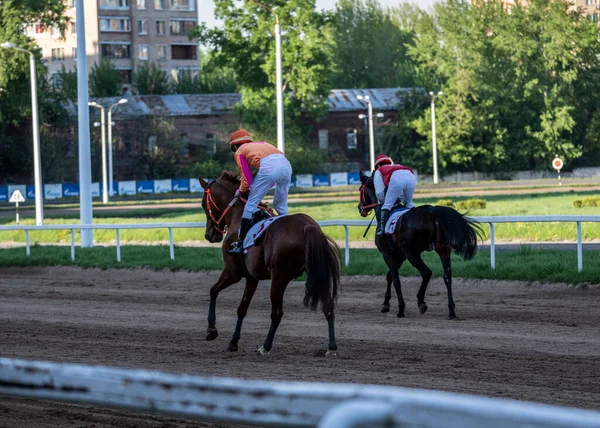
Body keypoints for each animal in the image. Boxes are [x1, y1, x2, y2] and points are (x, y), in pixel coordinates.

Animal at [200, 171, 342, 354]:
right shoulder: (252, 277)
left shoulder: (233, 271)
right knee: (328, 307)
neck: (239, 217)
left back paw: (265, 346)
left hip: (279, 277)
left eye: (203, 204)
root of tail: (307, 226)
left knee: (277, 313)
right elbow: (242, 308)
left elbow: (213, 291)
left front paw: (211, 330)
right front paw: (233, 341)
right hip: (318, 273)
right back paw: (331, 347)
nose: (209, 235)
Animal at [356, 172, 482, 320]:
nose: (360, 208)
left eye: (360, 189)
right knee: (447, 276)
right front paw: (385, 304)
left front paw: (400, 309)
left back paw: (421, 302)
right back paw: (451, 311)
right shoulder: (400, 255)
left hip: (412, 252)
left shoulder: (388, 254)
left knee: (426, 272)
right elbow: (389, 276)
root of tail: (432, 211)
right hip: (443, 250)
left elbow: (395, 278)